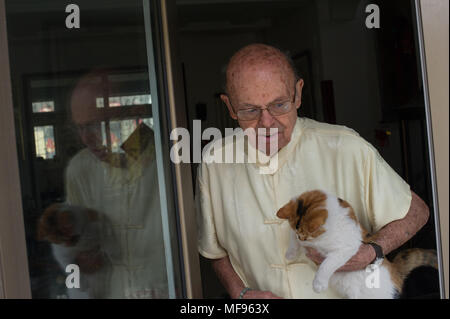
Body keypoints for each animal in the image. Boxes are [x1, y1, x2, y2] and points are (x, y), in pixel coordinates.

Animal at [276, 190, 438, 300]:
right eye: (300, 234)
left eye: (306, 234)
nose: (302, 240)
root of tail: (395, 270)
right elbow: (292, 238)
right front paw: (290, 253)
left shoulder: (345, 249)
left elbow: (327, 264)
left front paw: (318, 284)